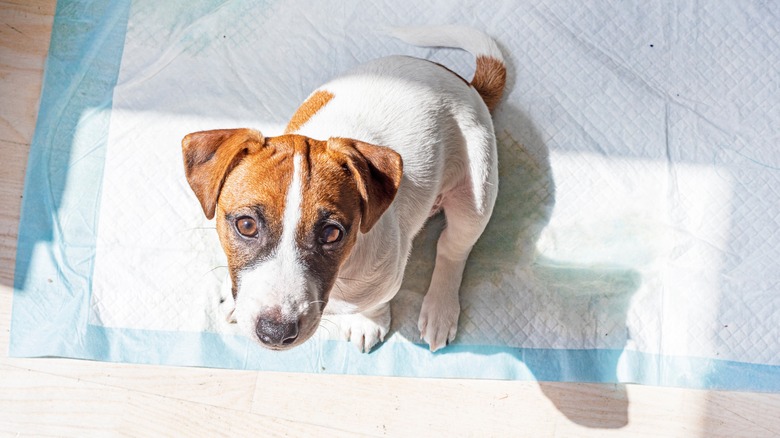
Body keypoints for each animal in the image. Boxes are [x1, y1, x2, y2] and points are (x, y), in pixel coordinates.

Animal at [184, 24, 506, 352]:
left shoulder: (386, 279)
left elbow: (375, 303)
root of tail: (466, 84)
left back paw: (440, 309)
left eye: (331, 234)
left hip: (476, 193)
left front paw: (368, 321)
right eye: (246, 225)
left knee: (453, 249)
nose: (276, 332)